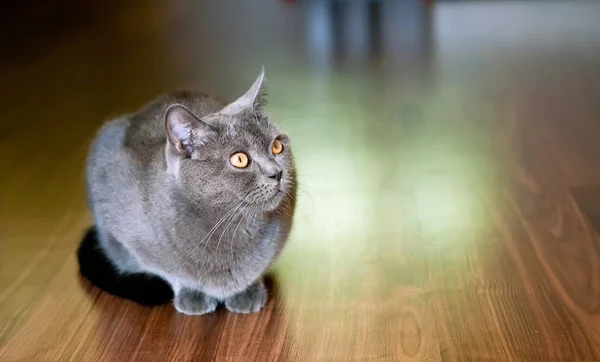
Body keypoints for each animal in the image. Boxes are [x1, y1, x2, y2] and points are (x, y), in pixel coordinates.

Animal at [85, 70, 296, 314]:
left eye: (277, 146)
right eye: (240, 159)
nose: (277, 172)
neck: (228, 225)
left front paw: (247, 290)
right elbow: (170, 271)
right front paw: (192, 295)